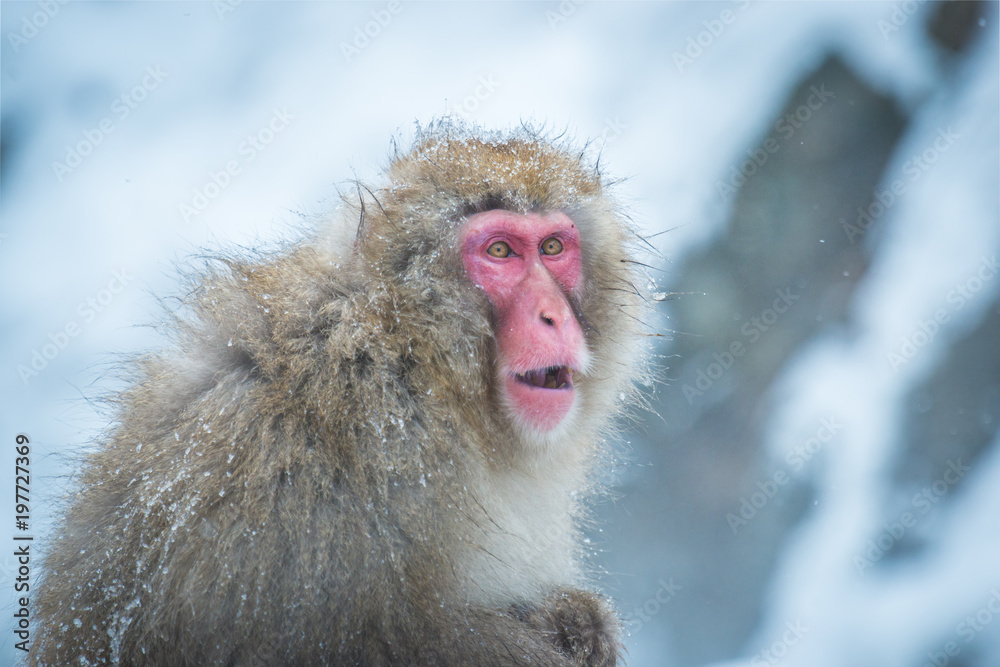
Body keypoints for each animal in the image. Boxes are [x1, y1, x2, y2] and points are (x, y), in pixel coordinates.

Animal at [32, 122, 649, 666]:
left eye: (552, 247)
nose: (552, 316)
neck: (412, 354)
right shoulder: (349, 455)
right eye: (500, 251)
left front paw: (579, 622)